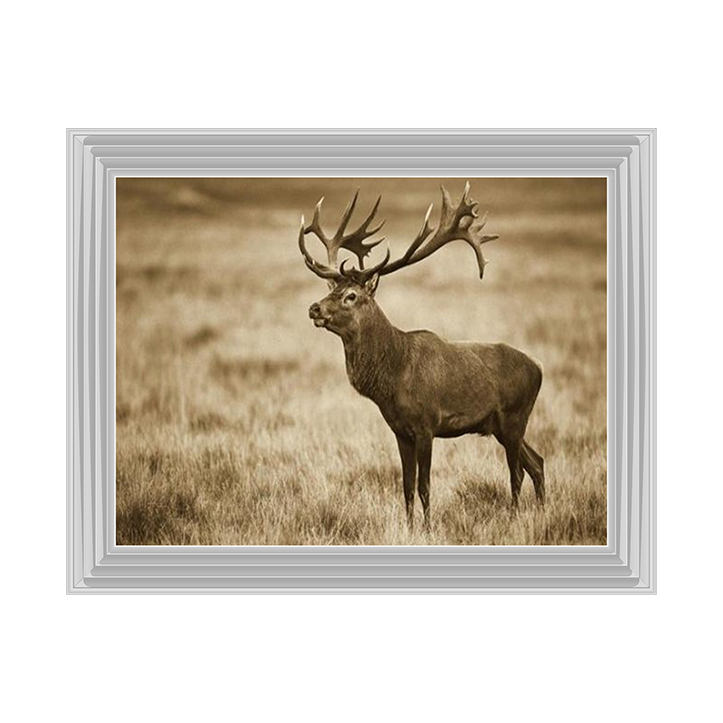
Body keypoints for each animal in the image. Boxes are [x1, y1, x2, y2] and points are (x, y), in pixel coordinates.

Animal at [298, 182, 545, 530]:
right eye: (330, 289)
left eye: (351, 296)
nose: (314, 308)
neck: (392, 377)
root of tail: (539, 368)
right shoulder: (400, 431)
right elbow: (406, 486)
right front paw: (409, 526)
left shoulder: (427, 424)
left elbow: (425, 485)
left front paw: (427, 529)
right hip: (501, 425)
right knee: (537, 462)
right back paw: (543, 512)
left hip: (514, 416)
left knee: (518, 472)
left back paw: (513, 518)